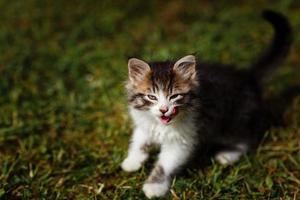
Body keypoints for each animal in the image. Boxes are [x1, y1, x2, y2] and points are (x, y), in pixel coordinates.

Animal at [120, 10, 292, 198]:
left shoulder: (183, 140)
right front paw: (133, 160)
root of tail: (247, 77)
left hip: (231, 123)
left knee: (247, 139)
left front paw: (154, 186)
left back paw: (228, 155)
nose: (164, 110)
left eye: (174, 96)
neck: (161, 124)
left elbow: (165, 165)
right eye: (152, 97)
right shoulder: (144, 123)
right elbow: (139, 140)